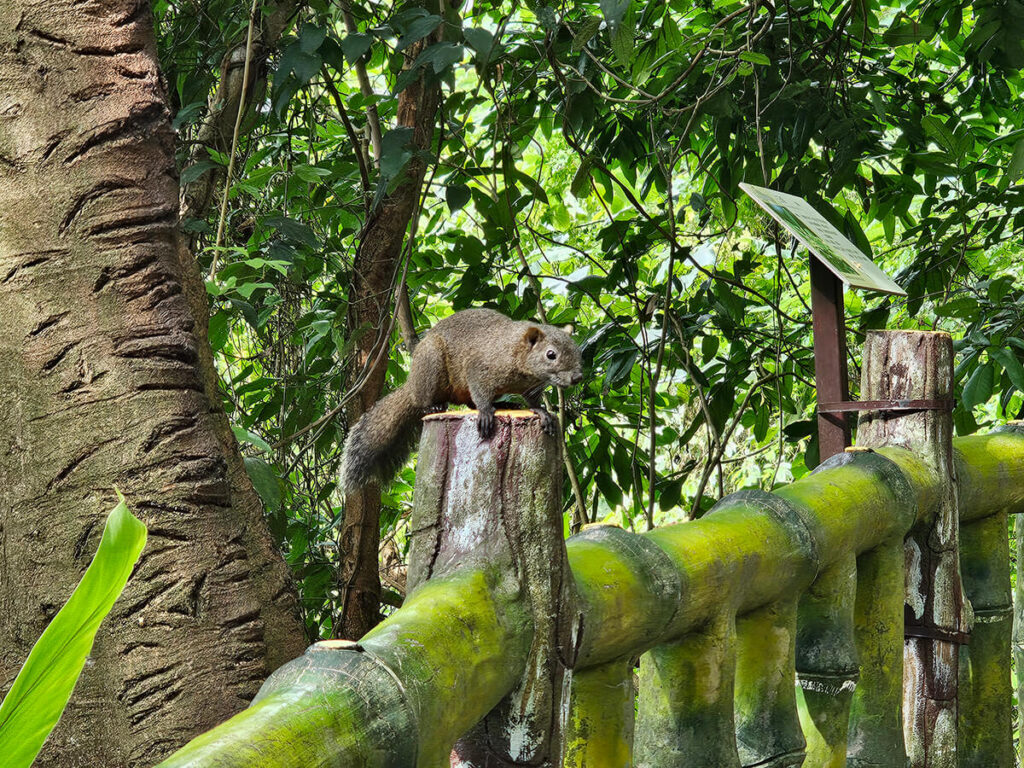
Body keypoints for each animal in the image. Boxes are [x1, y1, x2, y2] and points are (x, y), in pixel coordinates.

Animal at [339, 309, 585, 495]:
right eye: (551, 355)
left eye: (576, 350)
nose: (577, 377)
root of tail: (411, 385)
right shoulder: (479, 368)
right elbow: (480, 392)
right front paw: (486, 413)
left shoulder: (531, 386)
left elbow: (532, 401)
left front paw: (541, 412)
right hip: (431, 364)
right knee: (425, 400)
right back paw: (435, 406)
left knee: (468, 404)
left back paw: (505, 405)